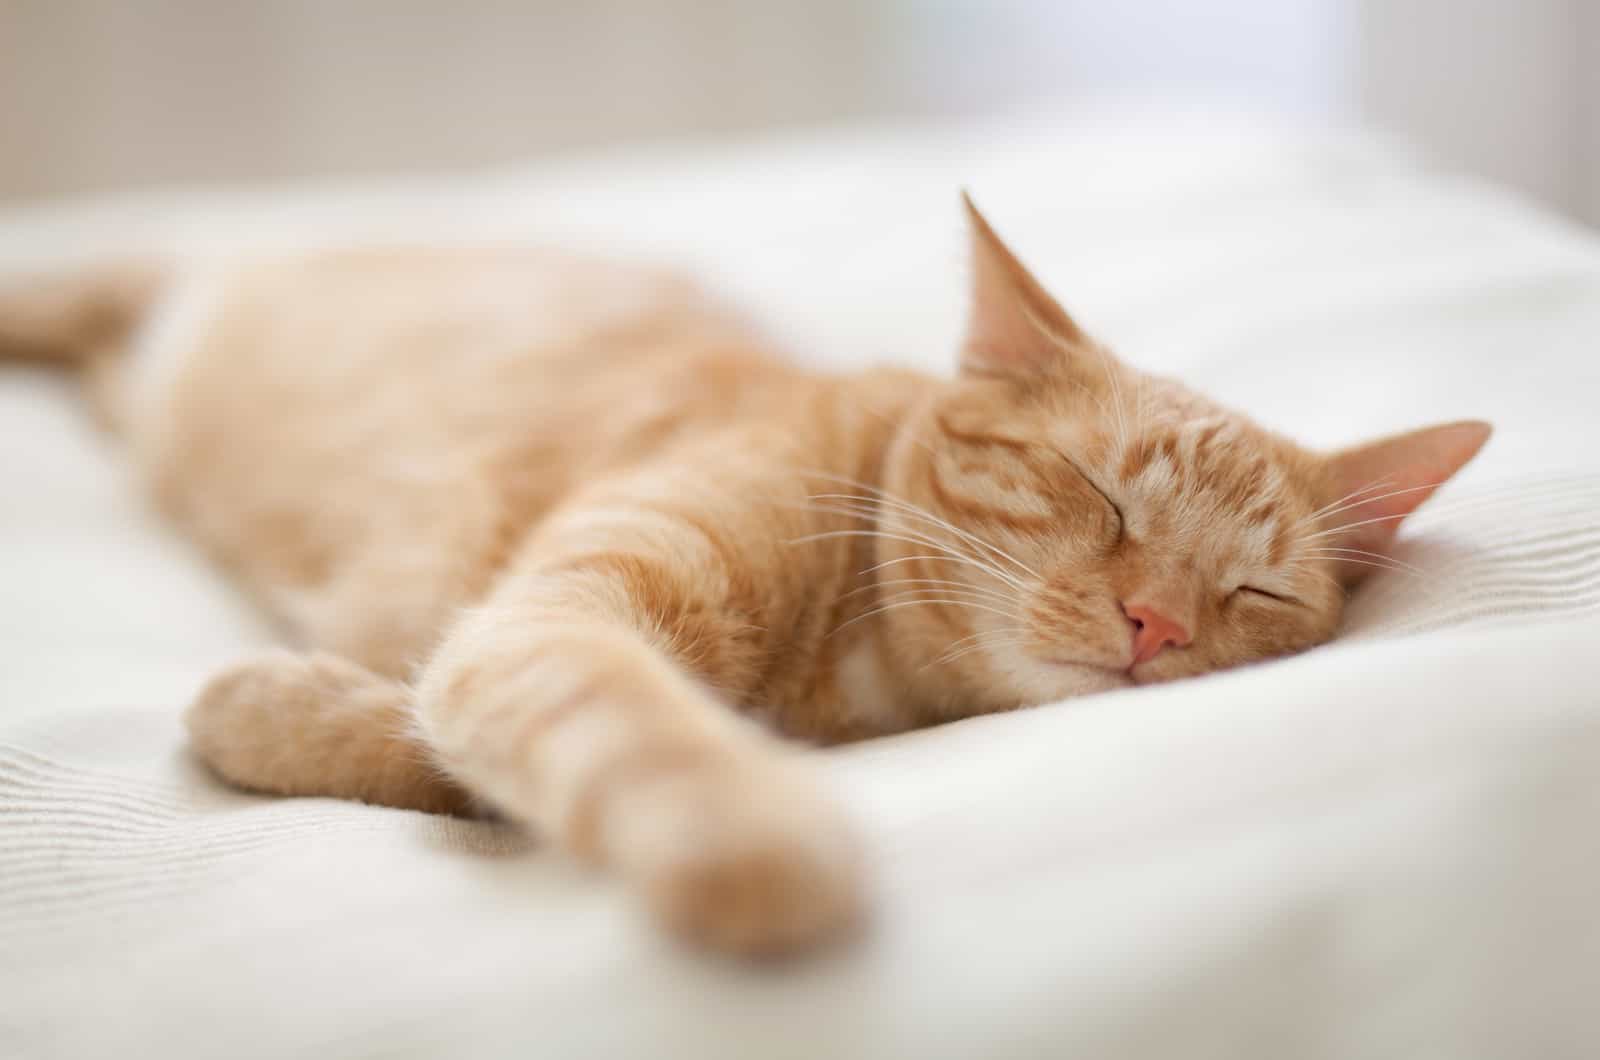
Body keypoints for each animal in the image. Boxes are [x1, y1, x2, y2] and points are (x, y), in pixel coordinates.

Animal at [0, 196, 1484, 954]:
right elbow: (621, 717)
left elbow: (438, 734)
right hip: (182, 288)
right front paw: (747, 835)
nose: (1156, 623)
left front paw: (268, 706)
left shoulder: (496, 643)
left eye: (1256, 595)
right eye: (1101, 493)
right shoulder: (552, 618)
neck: (856, 677)